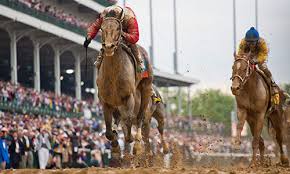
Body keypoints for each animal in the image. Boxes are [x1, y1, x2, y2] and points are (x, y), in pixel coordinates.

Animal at [96, 12, 153, 158]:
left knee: (139, 118)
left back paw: (137, 144)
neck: (113, 75)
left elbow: (128, 121)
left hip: (145, 90)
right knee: (118, 120)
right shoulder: (106, 102)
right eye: (102, 28)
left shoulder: (128, 97)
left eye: (118, 28)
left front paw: (131, 141)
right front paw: (115, 146)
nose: (108, 47)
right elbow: (108, 132)